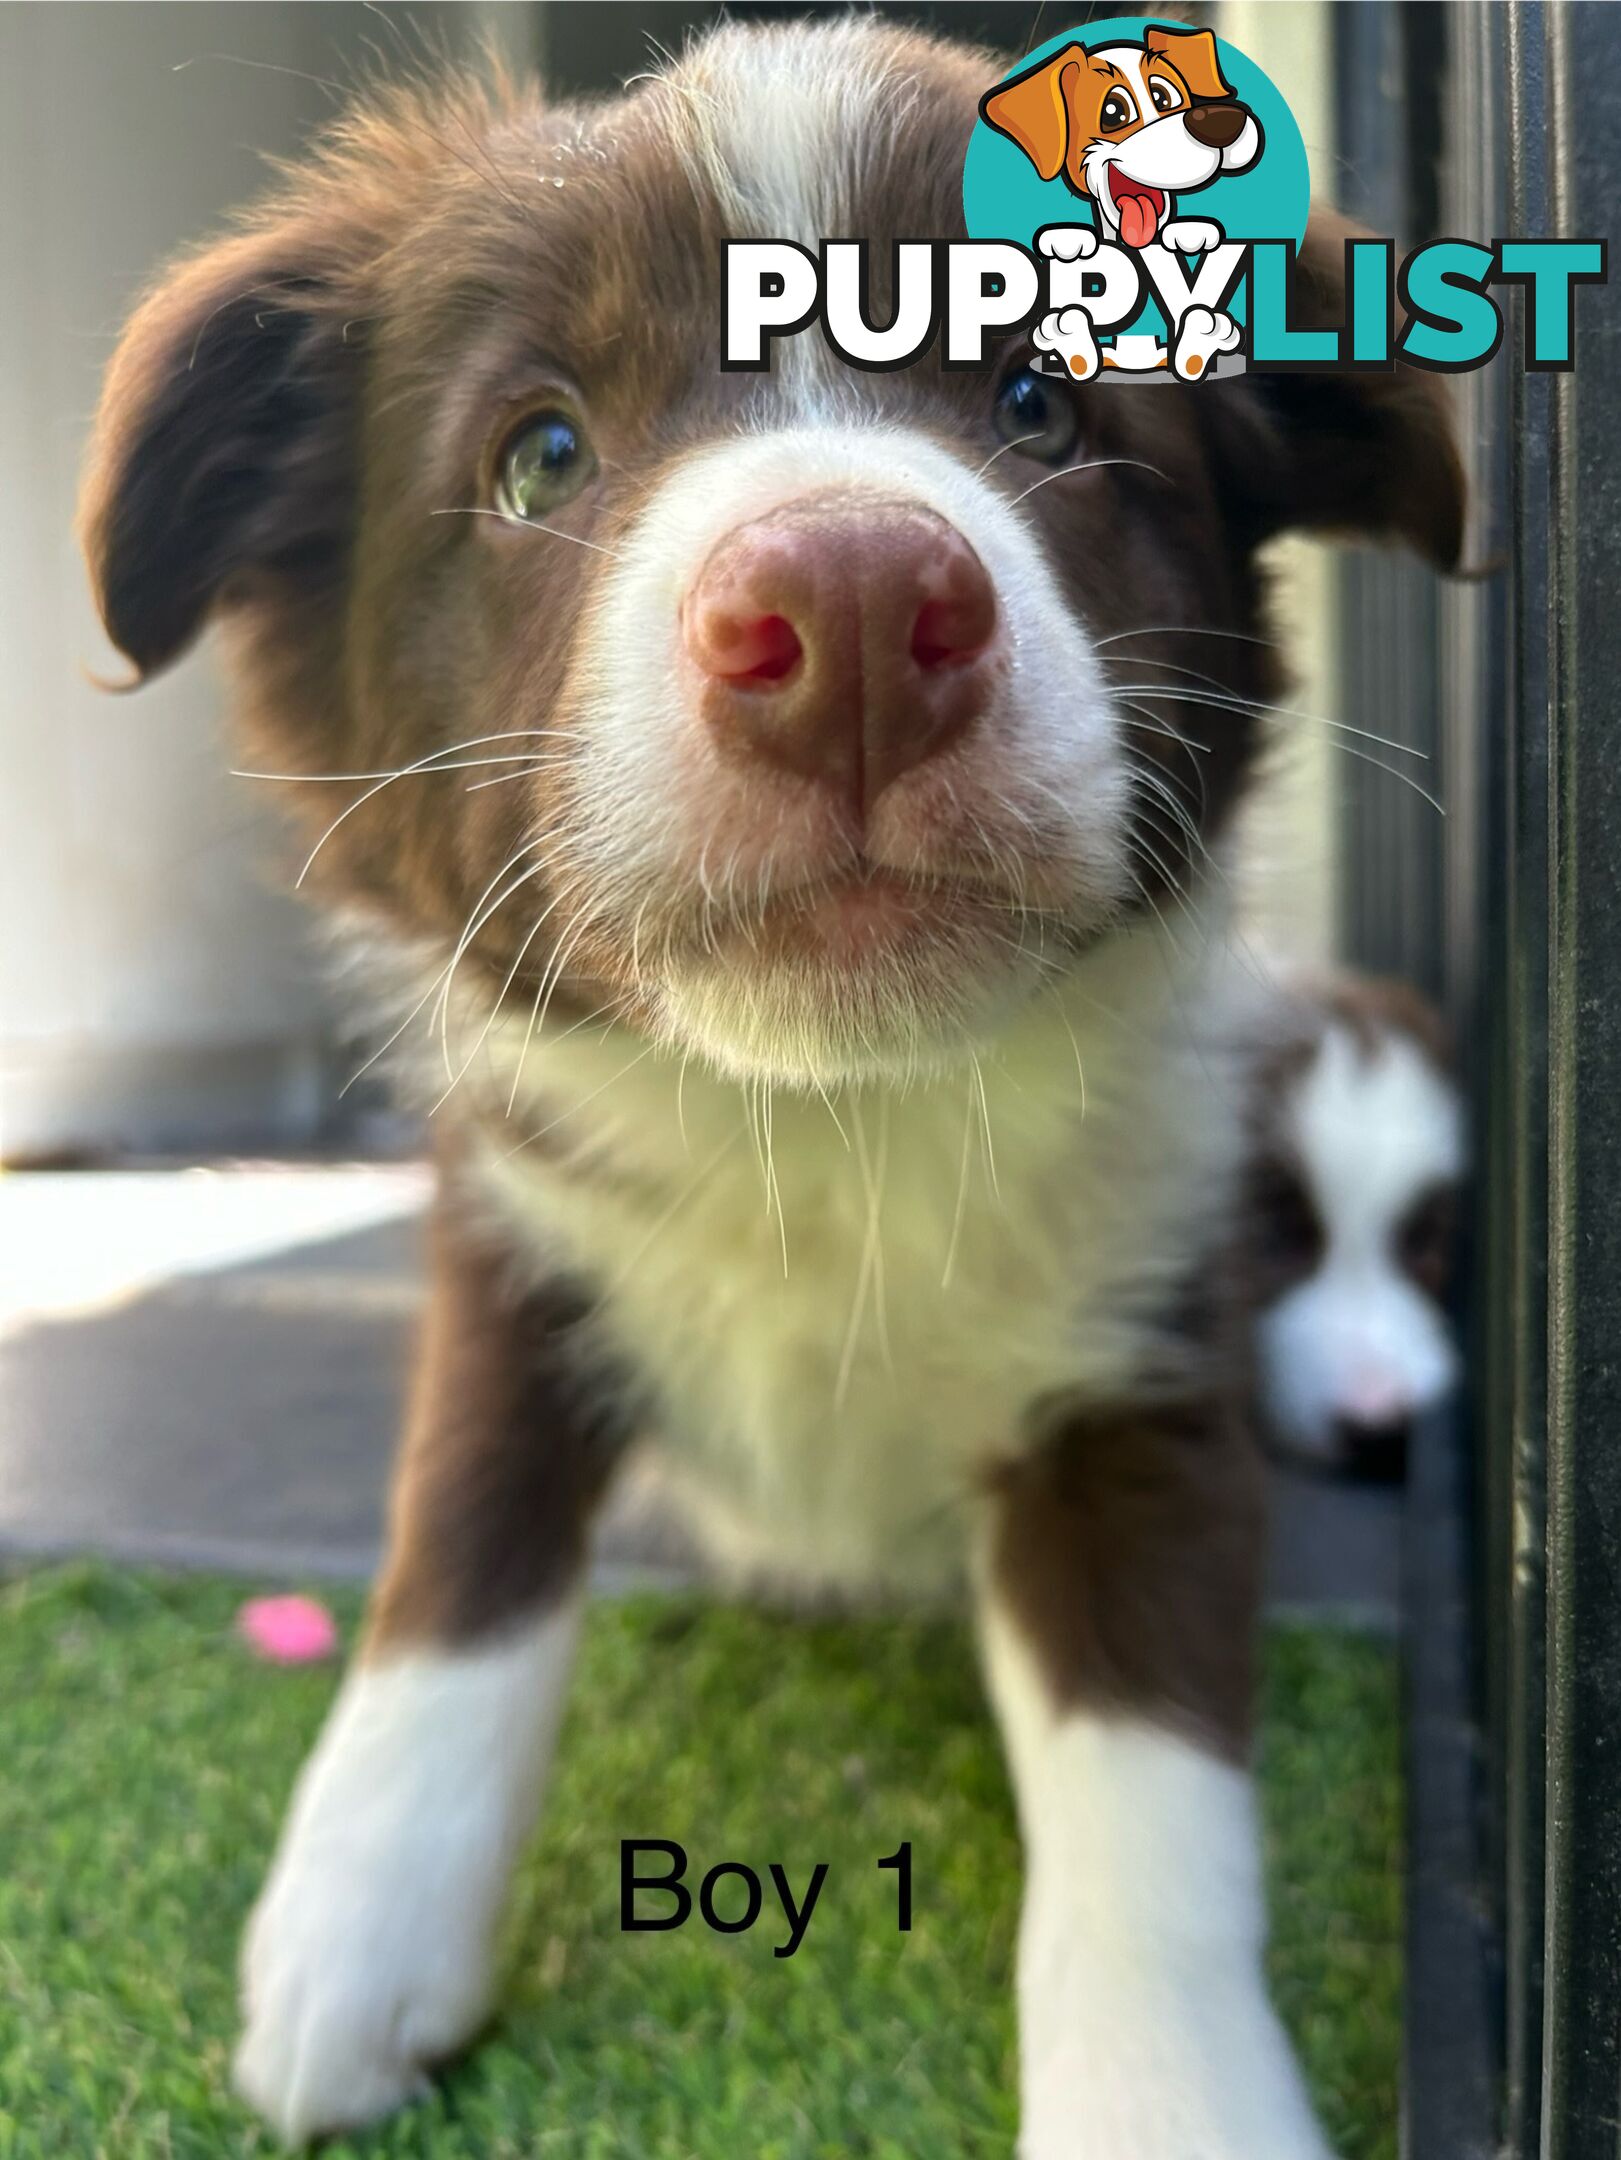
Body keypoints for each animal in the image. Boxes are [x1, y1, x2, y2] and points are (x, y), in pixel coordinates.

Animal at [82, 21, 1469, 2160]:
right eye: (540, 454)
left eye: (1039, 397)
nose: (849, 622)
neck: (830, 1116)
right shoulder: (516, 1225)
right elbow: (458, 1550)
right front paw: (357, 1926)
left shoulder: (1145, 1341)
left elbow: (1147, 1766)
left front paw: (1169, 2097)